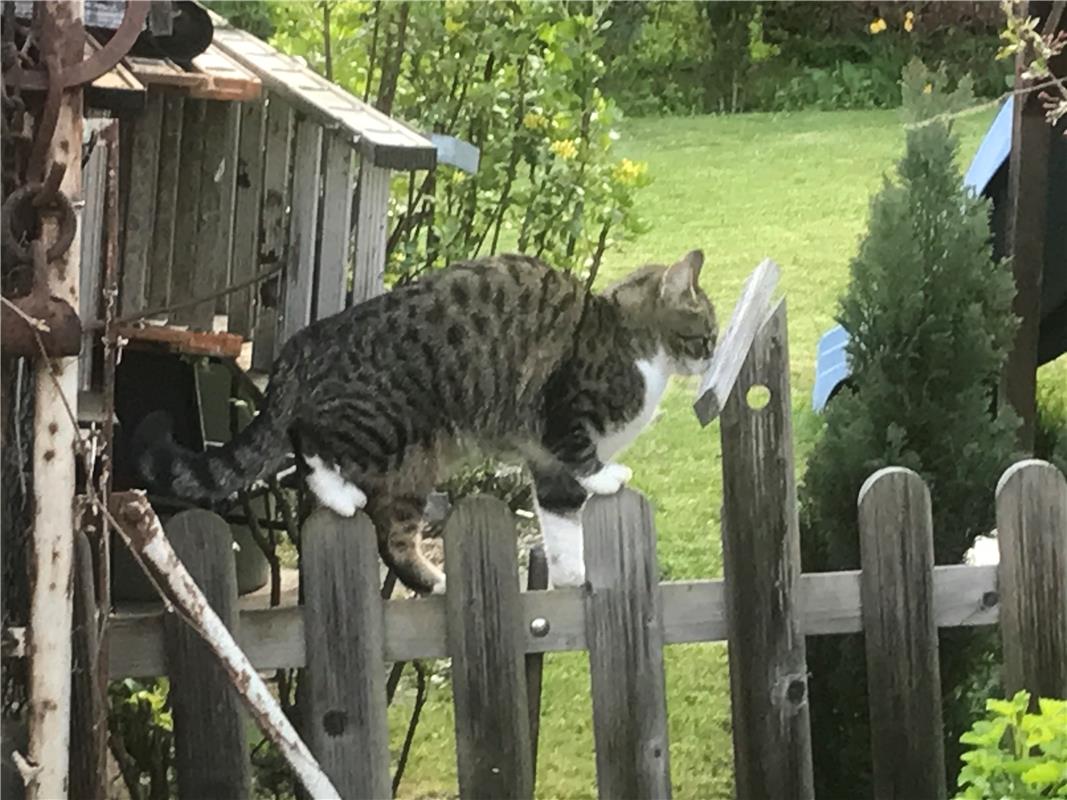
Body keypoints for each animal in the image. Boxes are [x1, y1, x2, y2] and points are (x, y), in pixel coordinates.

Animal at [133, 250, 717, 597]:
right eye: (706, 332)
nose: (712, 355)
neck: (632, 341)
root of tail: (307, 339)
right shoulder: (562, 421)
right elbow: (585, 460)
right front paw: (609, 476)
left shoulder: (548, 468)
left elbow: (560, 524)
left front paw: (573, 578)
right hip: (384, 428)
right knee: (311, 447)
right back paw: (345, 498)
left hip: (413, 466)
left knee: (391, 537)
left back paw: (432, 580)